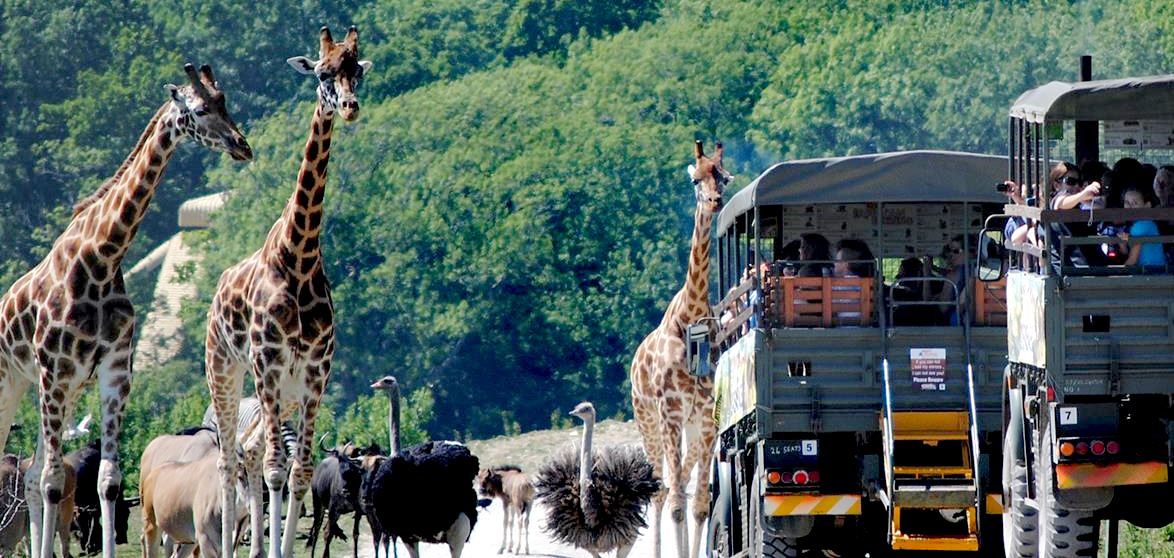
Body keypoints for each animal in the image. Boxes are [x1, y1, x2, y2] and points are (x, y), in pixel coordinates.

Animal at [0, 62, 252, 558]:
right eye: (199, 109)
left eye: (225, 101)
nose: (241, 145)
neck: (101, 258)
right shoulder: (56, 372)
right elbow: (56, 481)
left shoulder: (112, 370)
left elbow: (107, 481)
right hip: (14, 382)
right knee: (34, 472)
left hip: (42, 387)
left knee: (34, 475)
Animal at [204, 26, 370, 558]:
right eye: (322, 73)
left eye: (356, 70)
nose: (349, 106)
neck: (299, 257)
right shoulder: (269, 365)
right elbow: (277, 468)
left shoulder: (315, 373)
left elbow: (298, 472)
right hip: (227, 372)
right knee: (232, 458)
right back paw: (238, 545)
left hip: (287, 391)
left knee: (254, 451)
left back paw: (258, 544)